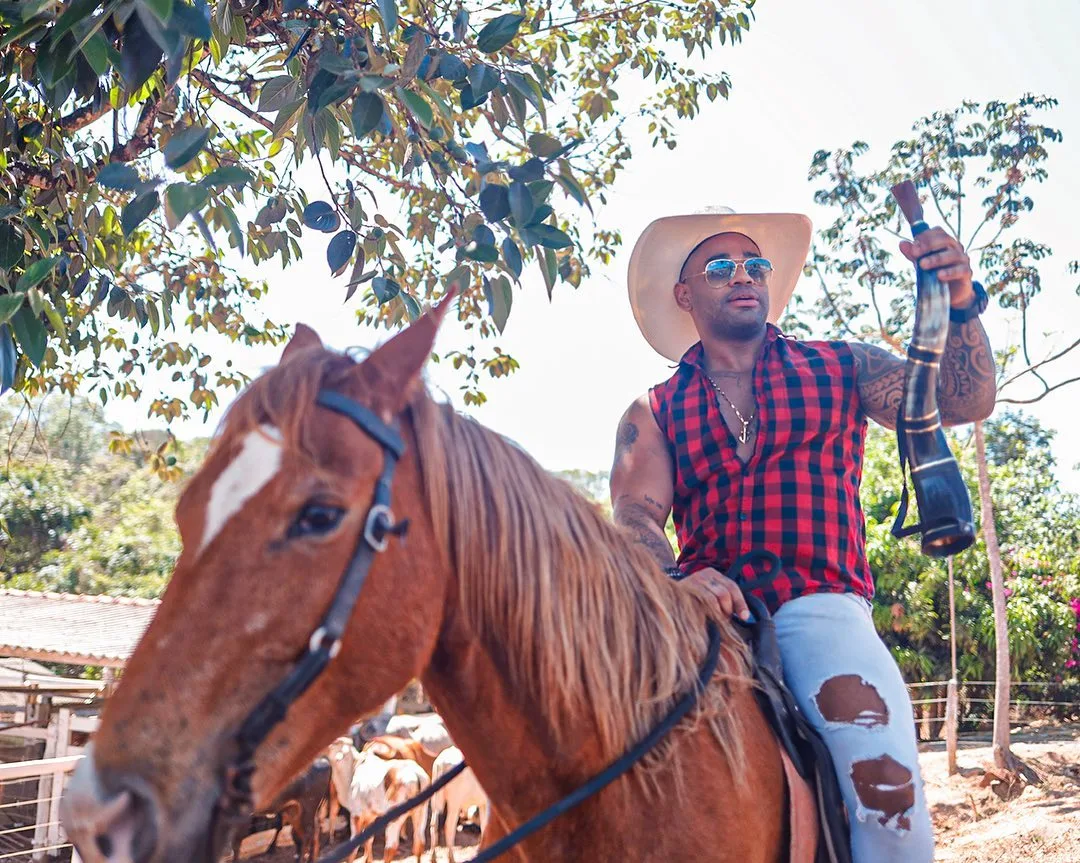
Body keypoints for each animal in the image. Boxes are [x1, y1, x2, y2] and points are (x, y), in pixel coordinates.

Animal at [328, 734, 429, 863]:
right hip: (421, 812)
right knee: (419, 842)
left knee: (391, 847)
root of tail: (416, 776)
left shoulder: (356, 815)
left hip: (395, 818)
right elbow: (368, 840)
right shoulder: (370, 817)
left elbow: (354, 847)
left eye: (334, 744)